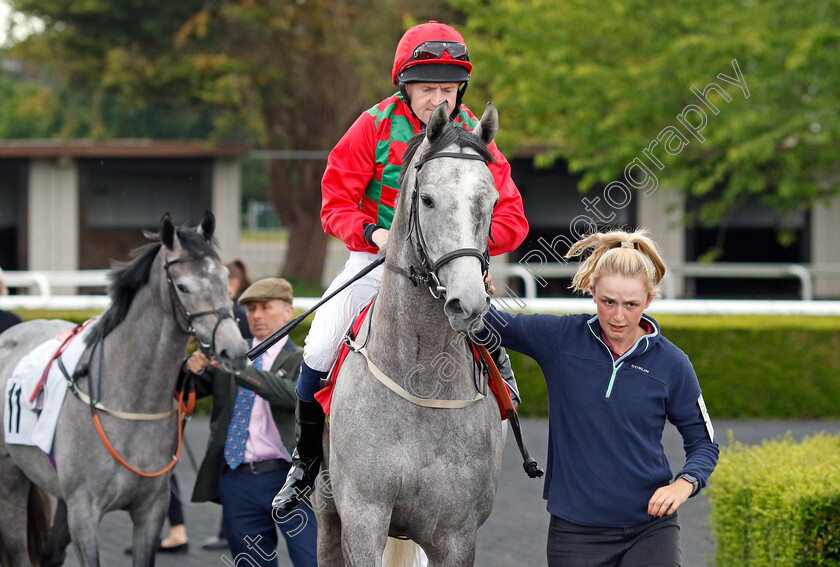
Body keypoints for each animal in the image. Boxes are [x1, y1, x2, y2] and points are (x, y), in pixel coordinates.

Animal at [0, 213, 249, 567]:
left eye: (225, 279)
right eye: (184, 286)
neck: (131, 403)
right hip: (10, 476)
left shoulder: (150, 509)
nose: (235, 351)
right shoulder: (84, 512)